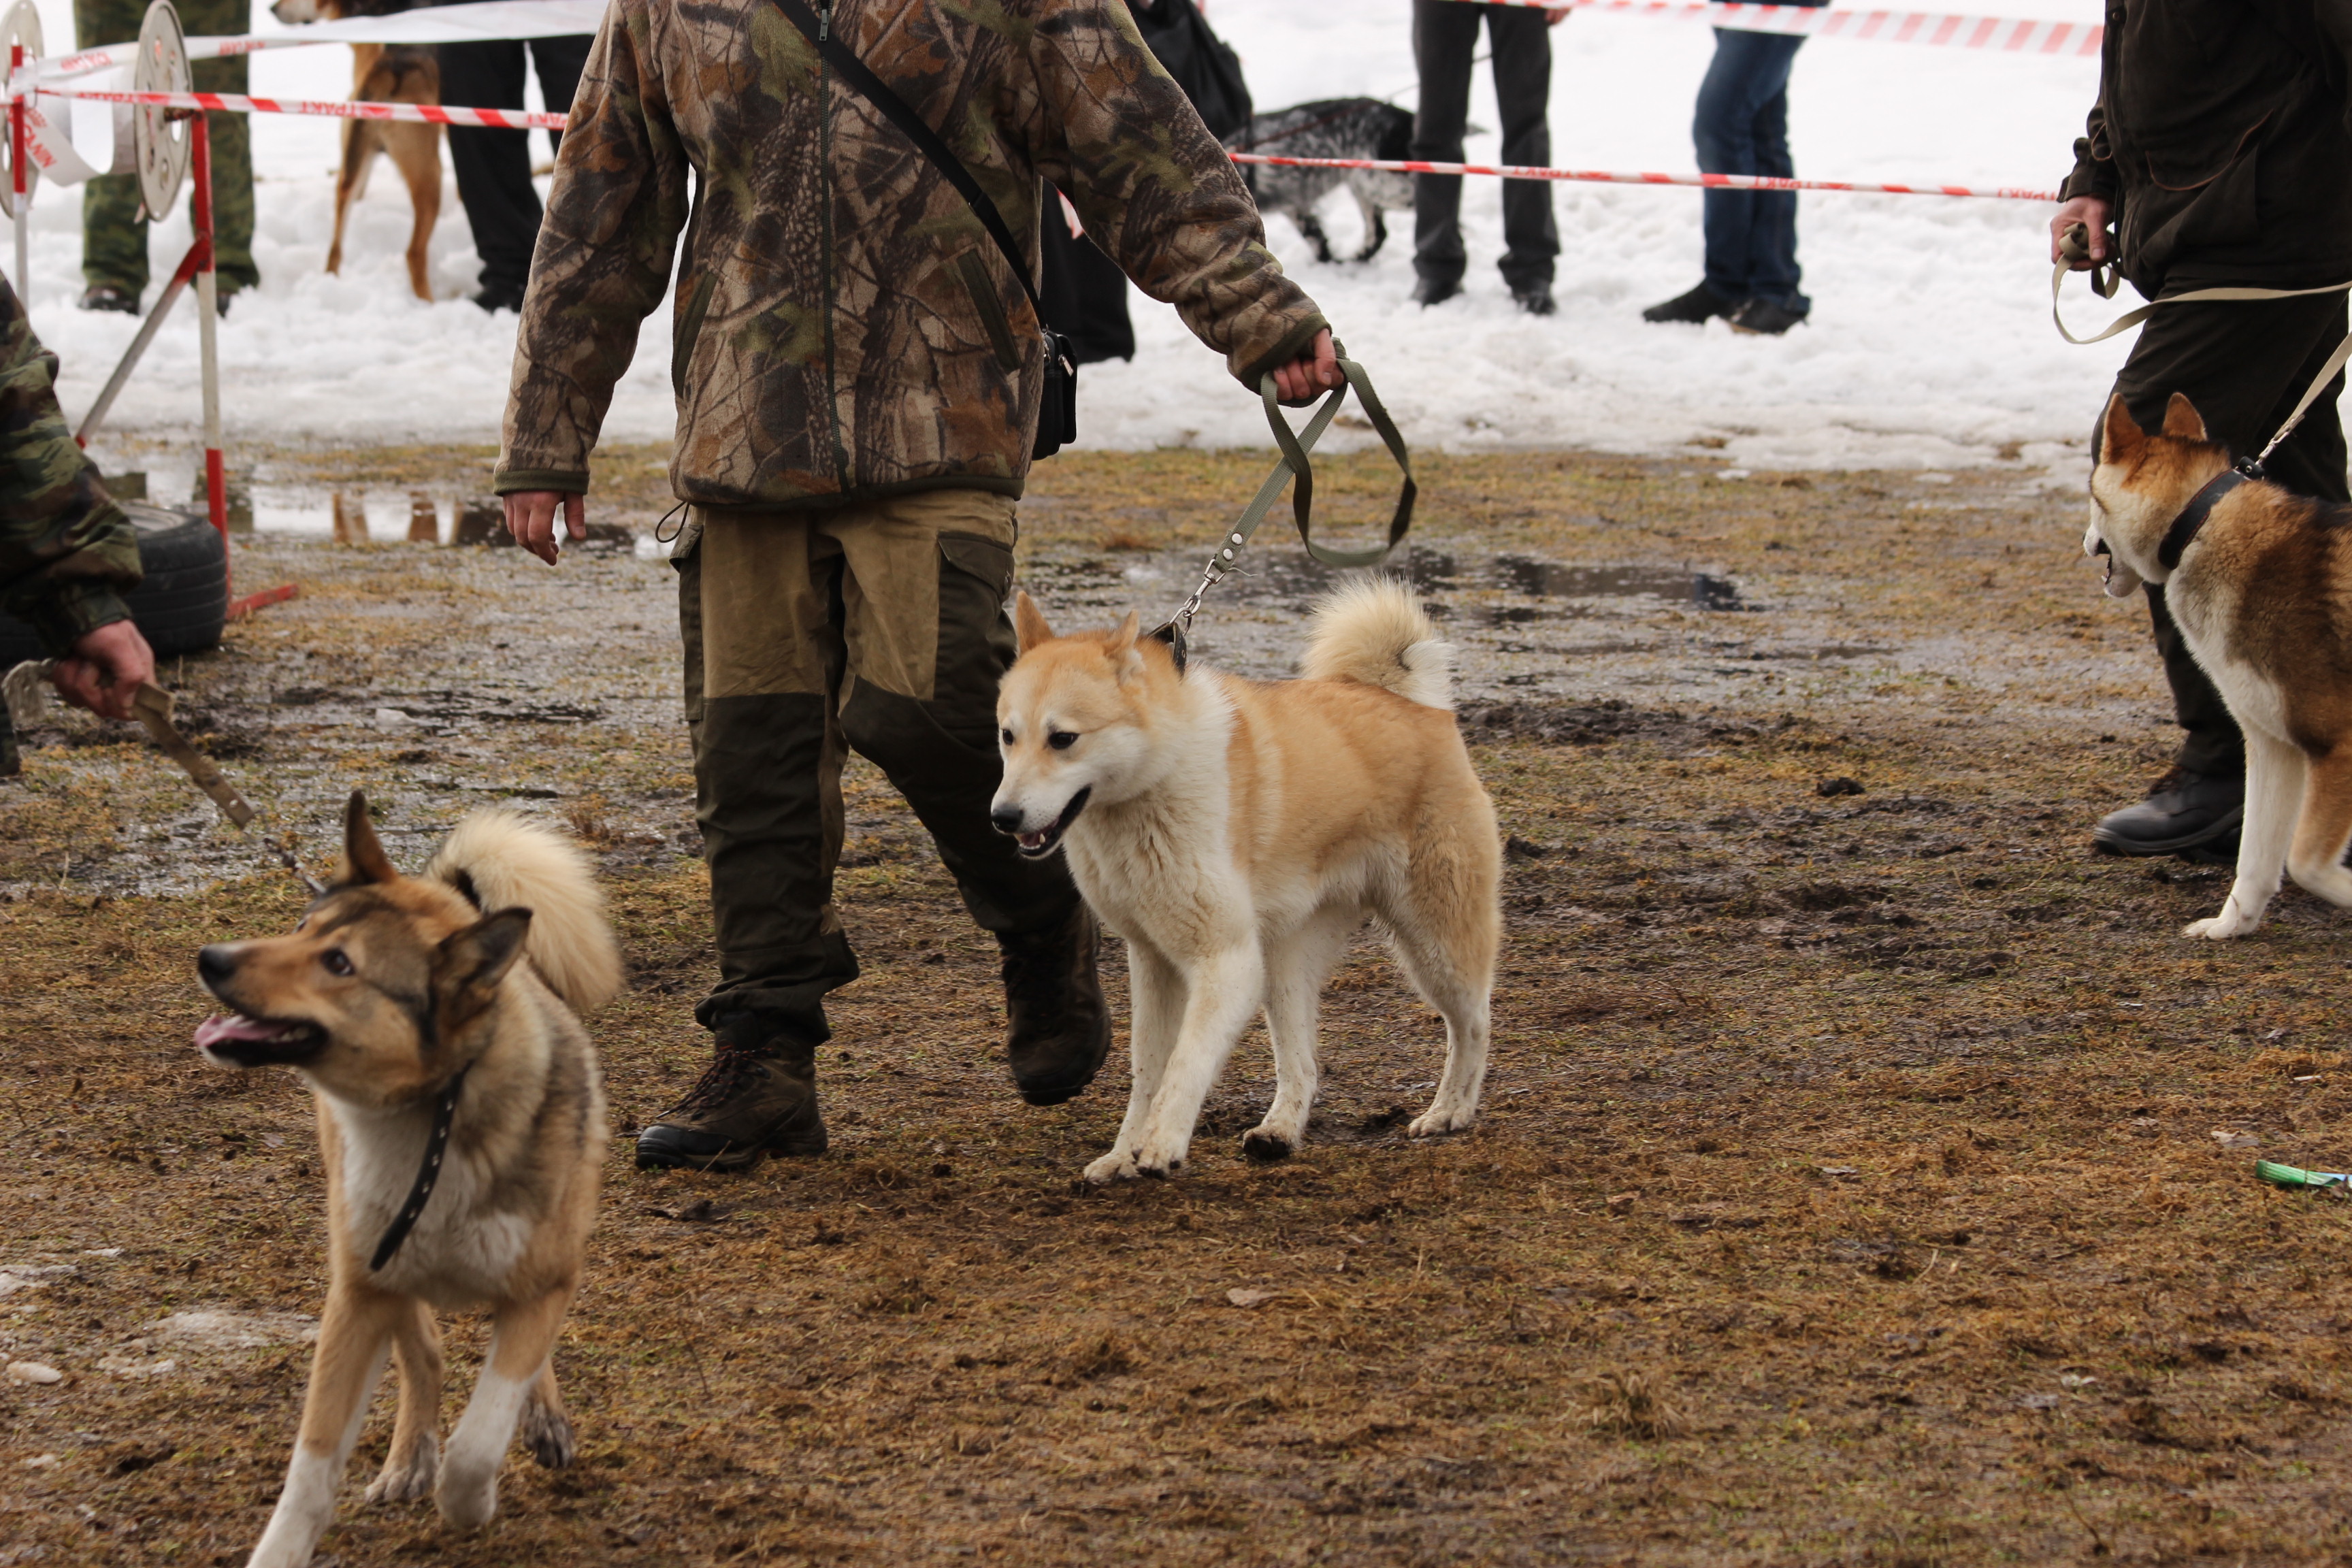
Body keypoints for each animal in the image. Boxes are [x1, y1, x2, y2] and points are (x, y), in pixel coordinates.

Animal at [194, 792, 620, 1568]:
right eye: (301, 929)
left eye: (339, 963)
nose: (212, 958)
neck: (433, 1113)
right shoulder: (360, 1293)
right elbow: (312, 1465)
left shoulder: (545, 1283)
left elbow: (482, 1435)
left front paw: (468, 1503)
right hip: (378, 1266)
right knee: (425, 1350)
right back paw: (410, 1457)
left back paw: (538, 1421)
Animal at [271, 0, 442, 301]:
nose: (272, 9)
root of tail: (390, 70)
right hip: (430, 176)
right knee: (414, 254)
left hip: (351, 168)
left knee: (335, 249)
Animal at [991, 579, 1499, 1181]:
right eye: (1008, 736)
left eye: (1063, 739)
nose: (1003, 817)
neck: (1154, 781)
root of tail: (1411, 703)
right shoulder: (1154, 961)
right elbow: (1147, 1071)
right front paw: (1122, 1154)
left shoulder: (1226, 962)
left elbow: (1184, 1063)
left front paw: (1161, 1142)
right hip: (1283, 968)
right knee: (1303, 1065)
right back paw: (1279, 1131)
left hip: (1435, 946)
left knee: (1473, 1025)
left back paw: (1451, 1111)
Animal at [2084, 390, 2352, 940]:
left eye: (2091, 497)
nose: (2084, 541)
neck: (2199, 523)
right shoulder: (2274, 747)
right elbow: (2257, 860)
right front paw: (2230, 926)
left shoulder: (2337, 746)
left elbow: (2307, 864)